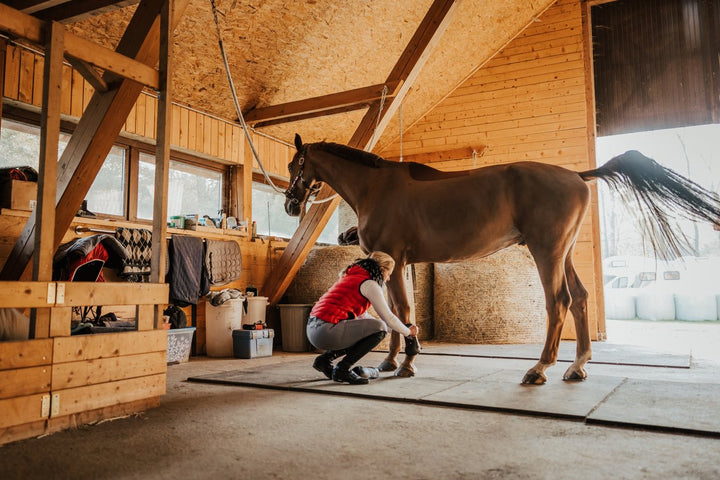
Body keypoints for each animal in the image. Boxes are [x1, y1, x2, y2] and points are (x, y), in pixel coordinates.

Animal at [284, 134, 720, 384]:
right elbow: (397, 311)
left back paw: (539, 369)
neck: (376, 186)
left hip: (547, 253)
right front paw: (394, 361)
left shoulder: (393, 259)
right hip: (564, 254)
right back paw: (577, 367)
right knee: (580, 299)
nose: (290, 204)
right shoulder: (399, 264)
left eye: (294, 164)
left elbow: (401, 311)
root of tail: (577, 176)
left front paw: (403, 364)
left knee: (558, 302)